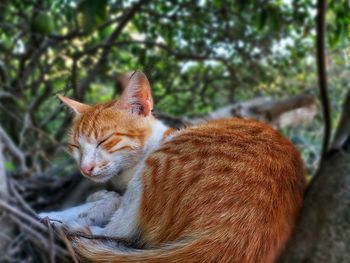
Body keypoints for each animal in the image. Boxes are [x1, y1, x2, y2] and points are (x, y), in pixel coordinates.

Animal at [39, 71, 304, 262]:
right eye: (75, 146)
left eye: (104, 140)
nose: (85, 169)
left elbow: (107, 206)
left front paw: (61, 212)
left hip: (157, 165)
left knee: (118, 231)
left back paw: (64, 225)